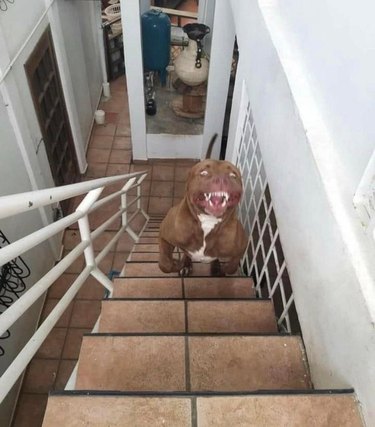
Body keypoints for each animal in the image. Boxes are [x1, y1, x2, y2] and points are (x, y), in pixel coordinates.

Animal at [158, 135, 248, 278]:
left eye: (233, 175)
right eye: (204, 173)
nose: (221, 179)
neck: (208, 222)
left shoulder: (242, 246)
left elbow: (232, 267)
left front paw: (222, 269)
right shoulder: (164, 236)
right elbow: (164, 264)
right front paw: (178, 264)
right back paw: (186, 264)